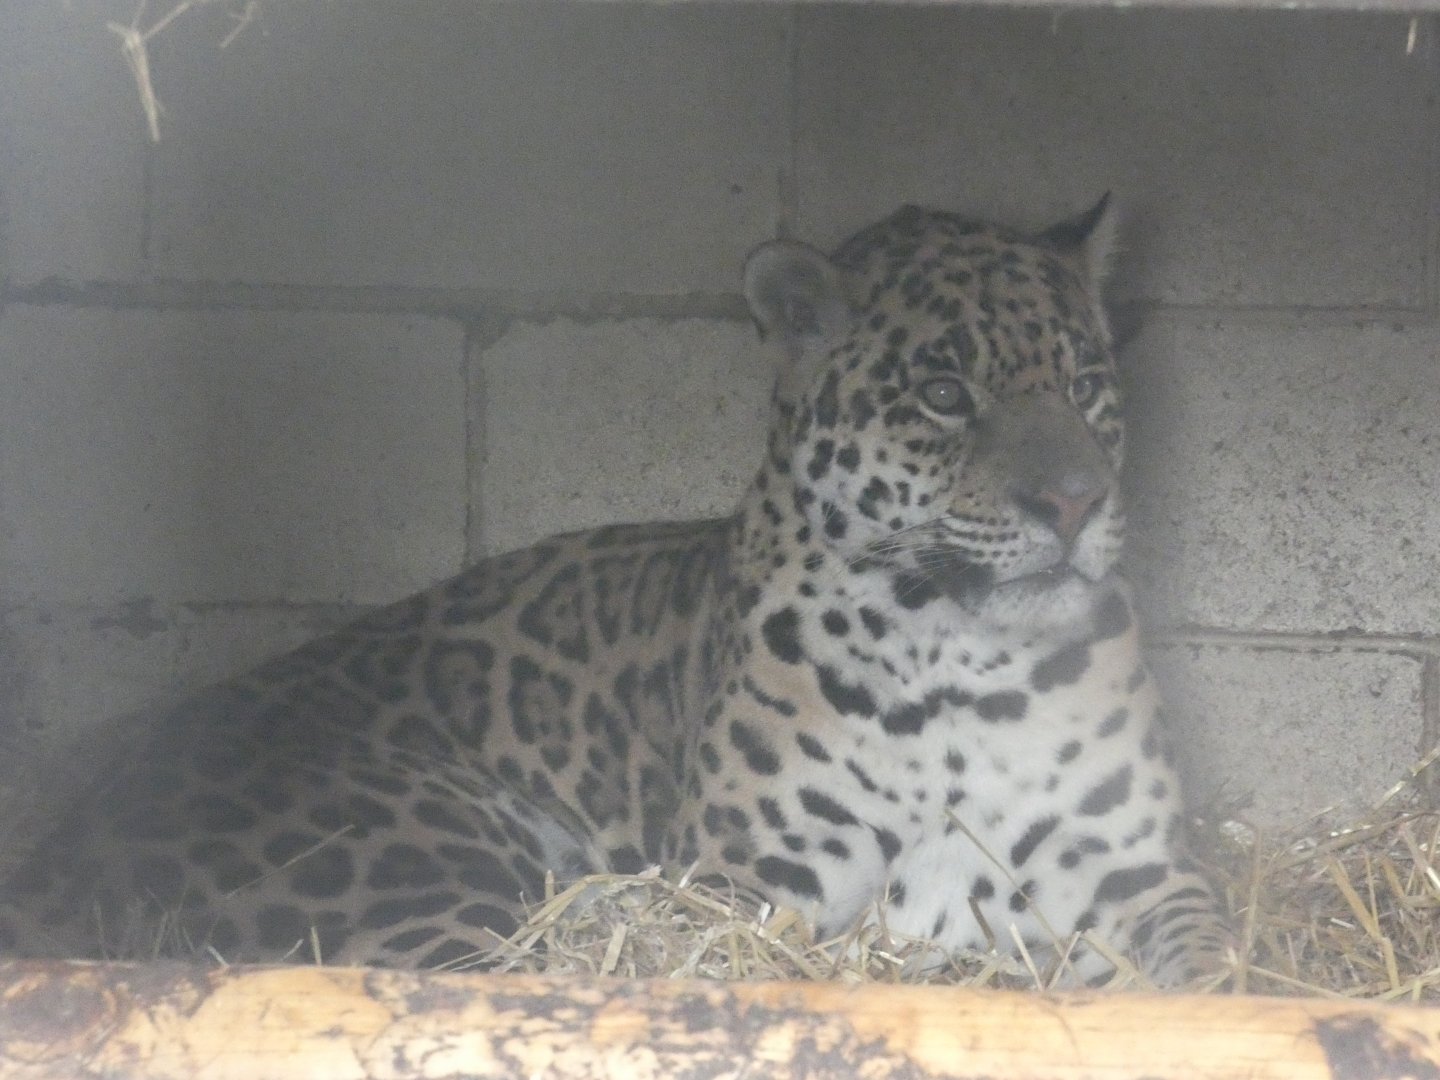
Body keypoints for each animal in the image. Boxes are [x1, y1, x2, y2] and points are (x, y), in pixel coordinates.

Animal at [0, 198, 1228, 986]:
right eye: (941, 393)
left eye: (1087, 384)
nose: (1074, 503)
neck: (967, 663)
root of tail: (58, 841)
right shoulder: (748, 888)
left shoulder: (1140, 875)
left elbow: (1216, 971)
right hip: (426, 863)